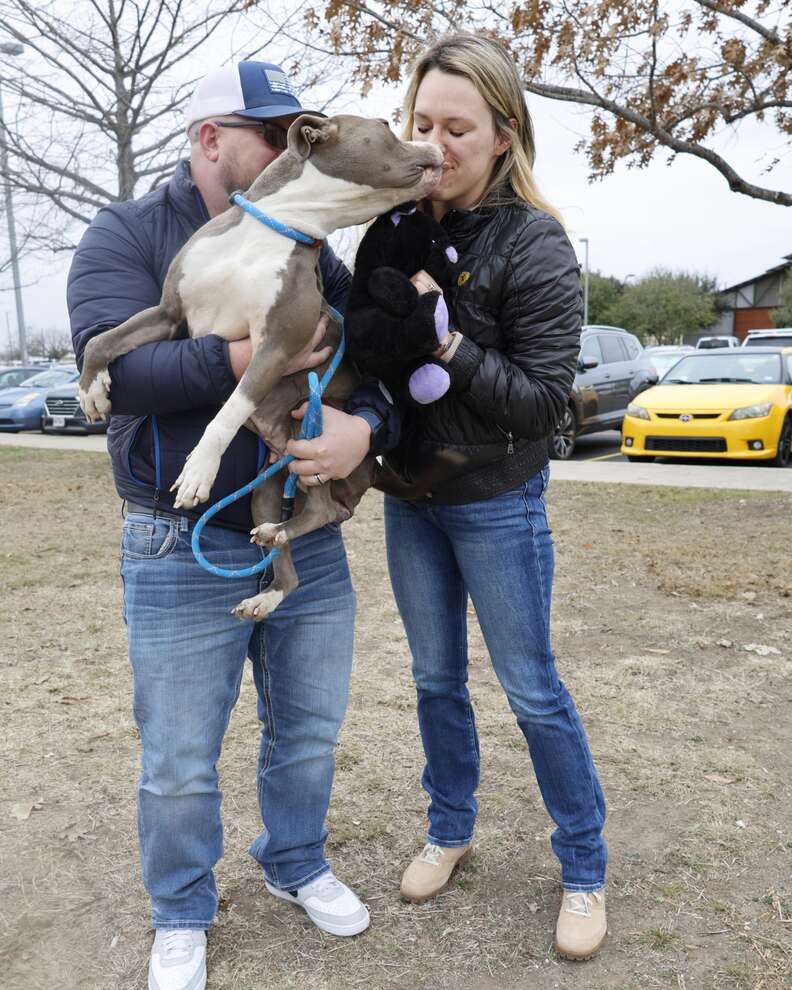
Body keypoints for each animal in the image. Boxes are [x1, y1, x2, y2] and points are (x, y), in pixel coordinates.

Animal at [82, 116, 446, 620]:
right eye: (387, 128)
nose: (437, 148)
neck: (282, 223)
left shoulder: (276, 346)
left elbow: (229, 411)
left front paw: (199, 470)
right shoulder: (169, 314)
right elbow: (104, 338)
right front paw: (92, 388)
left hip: (312, 439)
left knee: (322, 513)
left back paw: (278, 537)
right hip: (267, 488)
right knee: (290, 557)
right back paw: (267, 589)